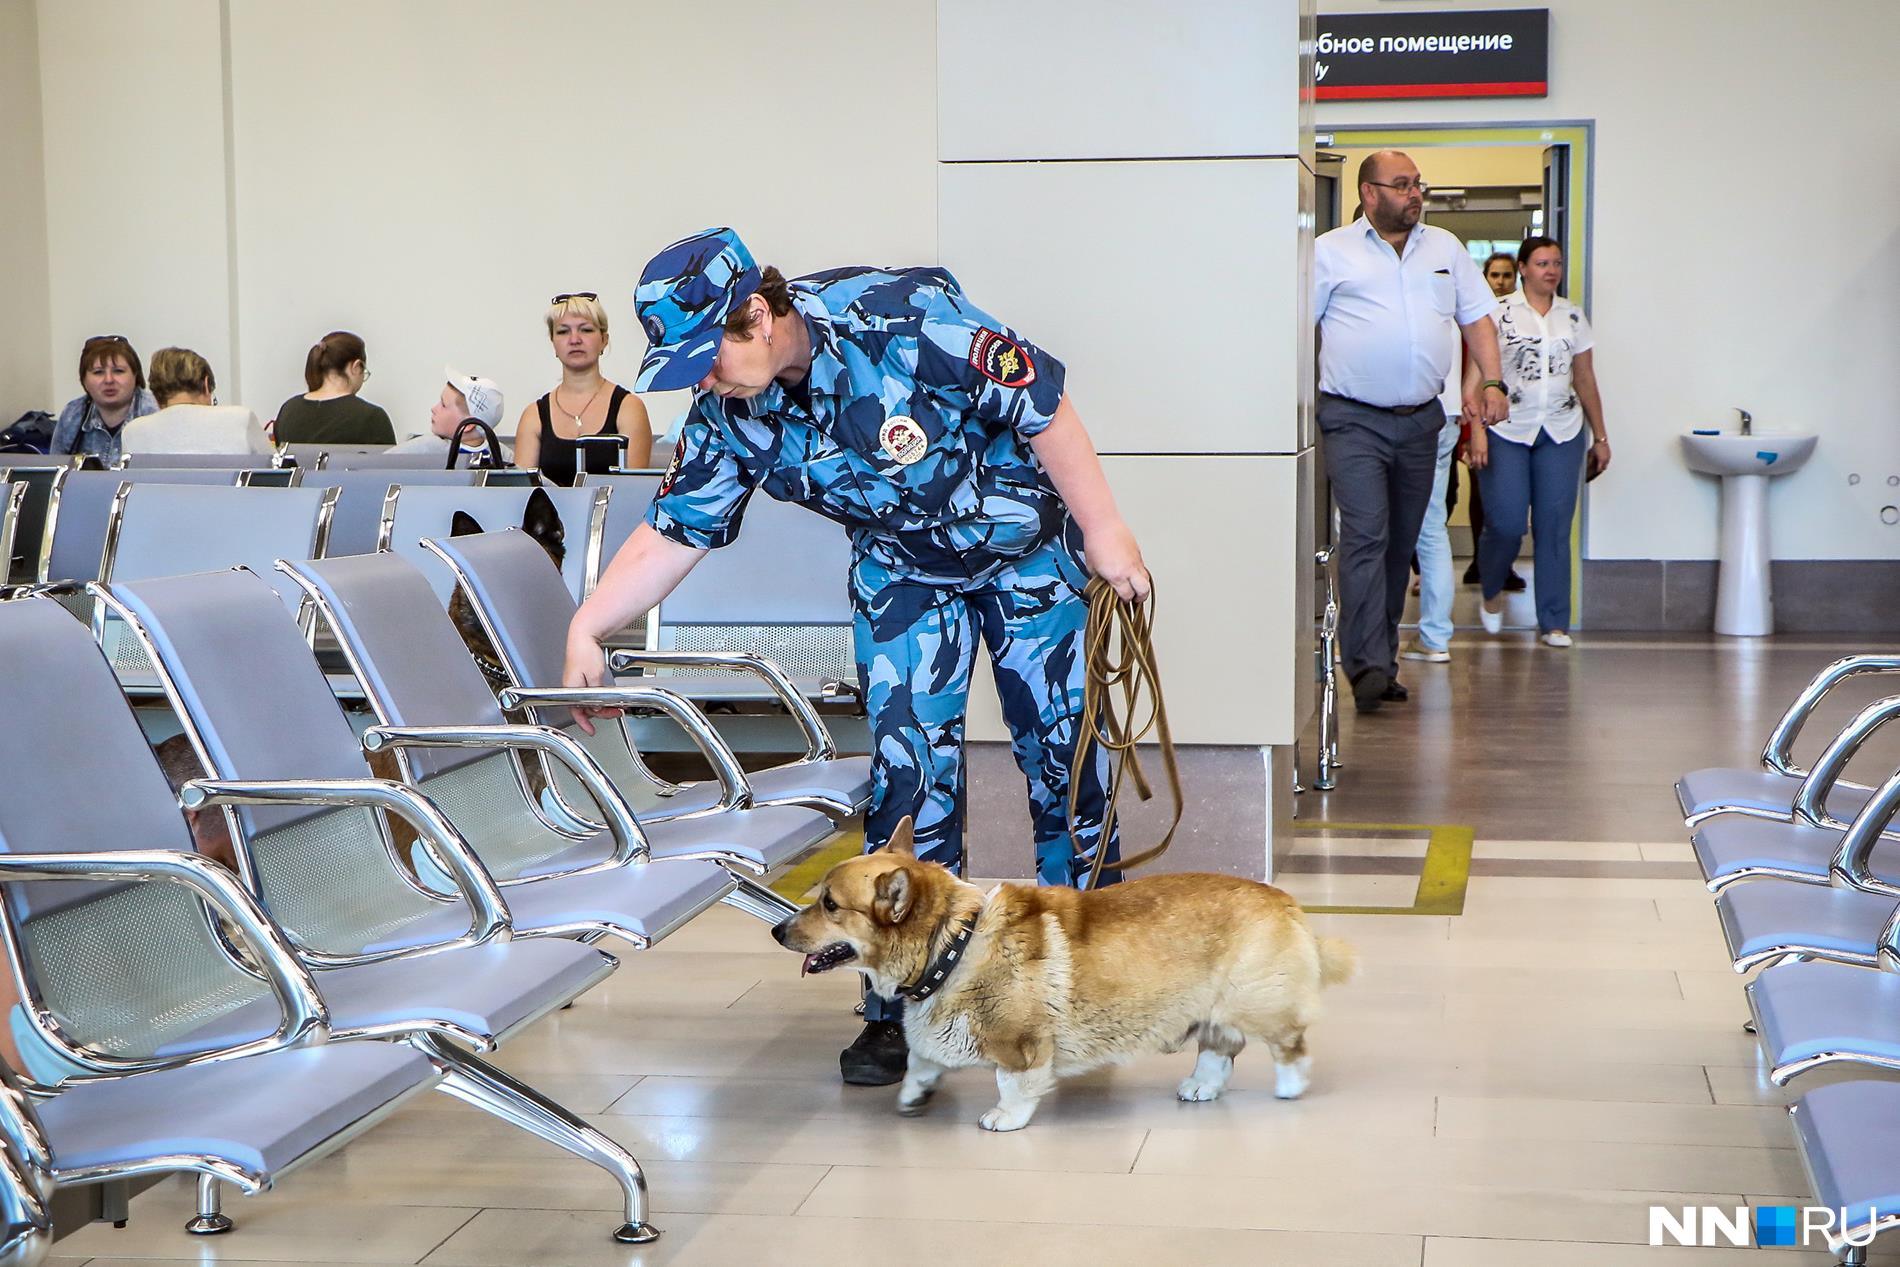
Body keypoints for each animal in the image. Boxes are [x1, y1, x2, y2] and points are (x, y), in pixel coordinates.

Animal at [767, 816, 1352, 1132]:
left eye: (829, 904)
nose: (776, 931)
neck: (952, 945)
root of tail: (1286, 901)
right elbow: (921, 1059)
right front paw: (915, 1094)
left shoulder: (1020, 1042)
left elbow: (1013, 1082)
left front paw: (1004, 1117)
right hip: (1211, 1009)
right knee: (1220, 1048)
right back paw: (1200, 1087)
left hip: (1256, 1001)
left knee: (1288, 1044)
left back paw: (1289, 1088)